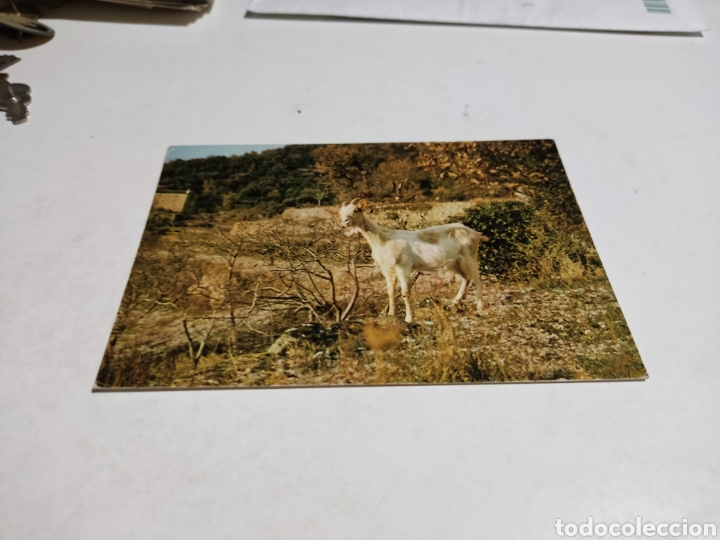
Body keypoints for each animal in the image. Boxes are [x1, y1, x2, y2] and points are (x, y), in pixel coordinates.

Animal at [337, 198, 488, 323]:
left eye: (356, 210)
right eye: (341, 212)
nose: (344, 221)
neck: (384, 238)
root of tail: (475, 233)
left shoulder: (404, 267)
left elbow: (405, 293)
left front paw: (409, 318)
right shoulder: (388, 270)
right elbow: (390, 292)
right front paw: (391, 314)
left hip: (469, 258)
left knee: (477, 279)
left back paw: (480, 307)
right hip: (457, 263)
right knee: (466, 279)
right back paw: (455, 302)